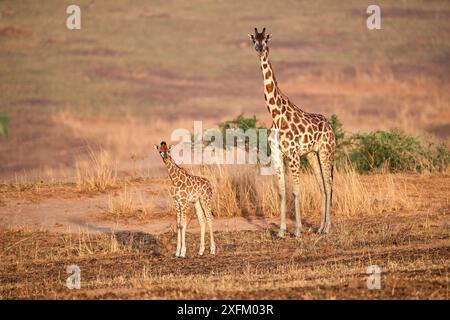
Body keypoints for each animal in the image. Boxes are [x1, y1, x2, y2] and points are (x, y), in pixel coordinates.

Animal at [250, 27, 334, 236]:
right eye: (254, 39)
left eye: (266, 40)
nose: (260, 48)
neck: (275, 112)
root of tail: (330, 126)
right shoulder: (278, 153)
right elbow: (282, 191)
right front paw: (281, 232)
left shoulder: (293, 154)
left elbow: (296, 190)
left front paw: (296, 230)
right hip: (313, 153)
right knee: (322, 185)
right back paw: (320, 227)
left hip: (326, 151)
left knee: (329, 184)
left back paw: (327, 228)